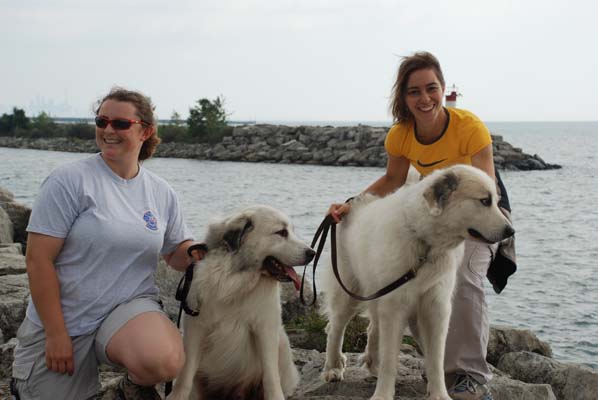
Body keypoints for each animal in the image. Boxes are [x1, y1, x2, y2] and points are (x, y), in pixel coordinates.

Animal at [169, 206, 316, 400]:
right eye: (281, 232)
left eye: (291, 231)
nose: (312, 253)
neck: (236, 280)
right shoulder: (195, 327)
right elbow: (185, 373)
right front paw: (177, 396)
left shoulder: (266, 328)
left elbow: (271, 374)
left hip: (283, 344)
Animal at [324, 164, 516, 398]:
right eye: (485, 201)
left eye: (496, 201)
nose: (510, 231)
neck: (426, 244)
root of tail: (353, 204)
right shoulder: (395, 305)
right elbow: (390, 358)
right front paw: (383, 394)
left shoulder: (435, 307)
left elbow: (436, 359)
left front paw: (440, 394)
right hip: (349, 292)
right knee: (335, 327)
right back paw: (333, 367)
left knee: (372, 328)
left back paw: (373, 365)